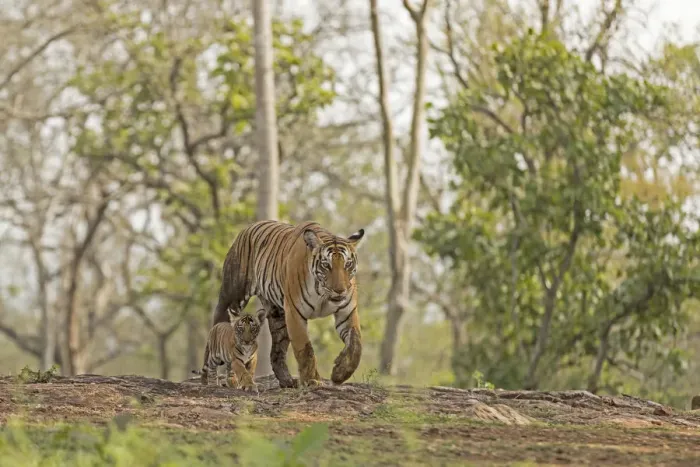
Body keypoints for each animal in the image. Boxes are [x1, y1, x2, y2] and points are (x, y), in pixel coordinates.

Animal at [212, 220, 365, 388]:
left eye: (348, 264)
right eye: (326, 265)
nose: (340, 290)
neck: (322, 294)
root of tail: (248, 228)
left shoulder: (347, 313)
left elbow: (356, 345)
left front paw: (339, 373)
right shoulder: (295, 313)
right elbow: (305, 349)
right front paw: (311, 380)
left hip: (278, 317)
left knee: (276, 353)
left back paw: (287, 381)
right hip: (232, 297)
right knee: (221, 333)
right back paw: (226, 378)